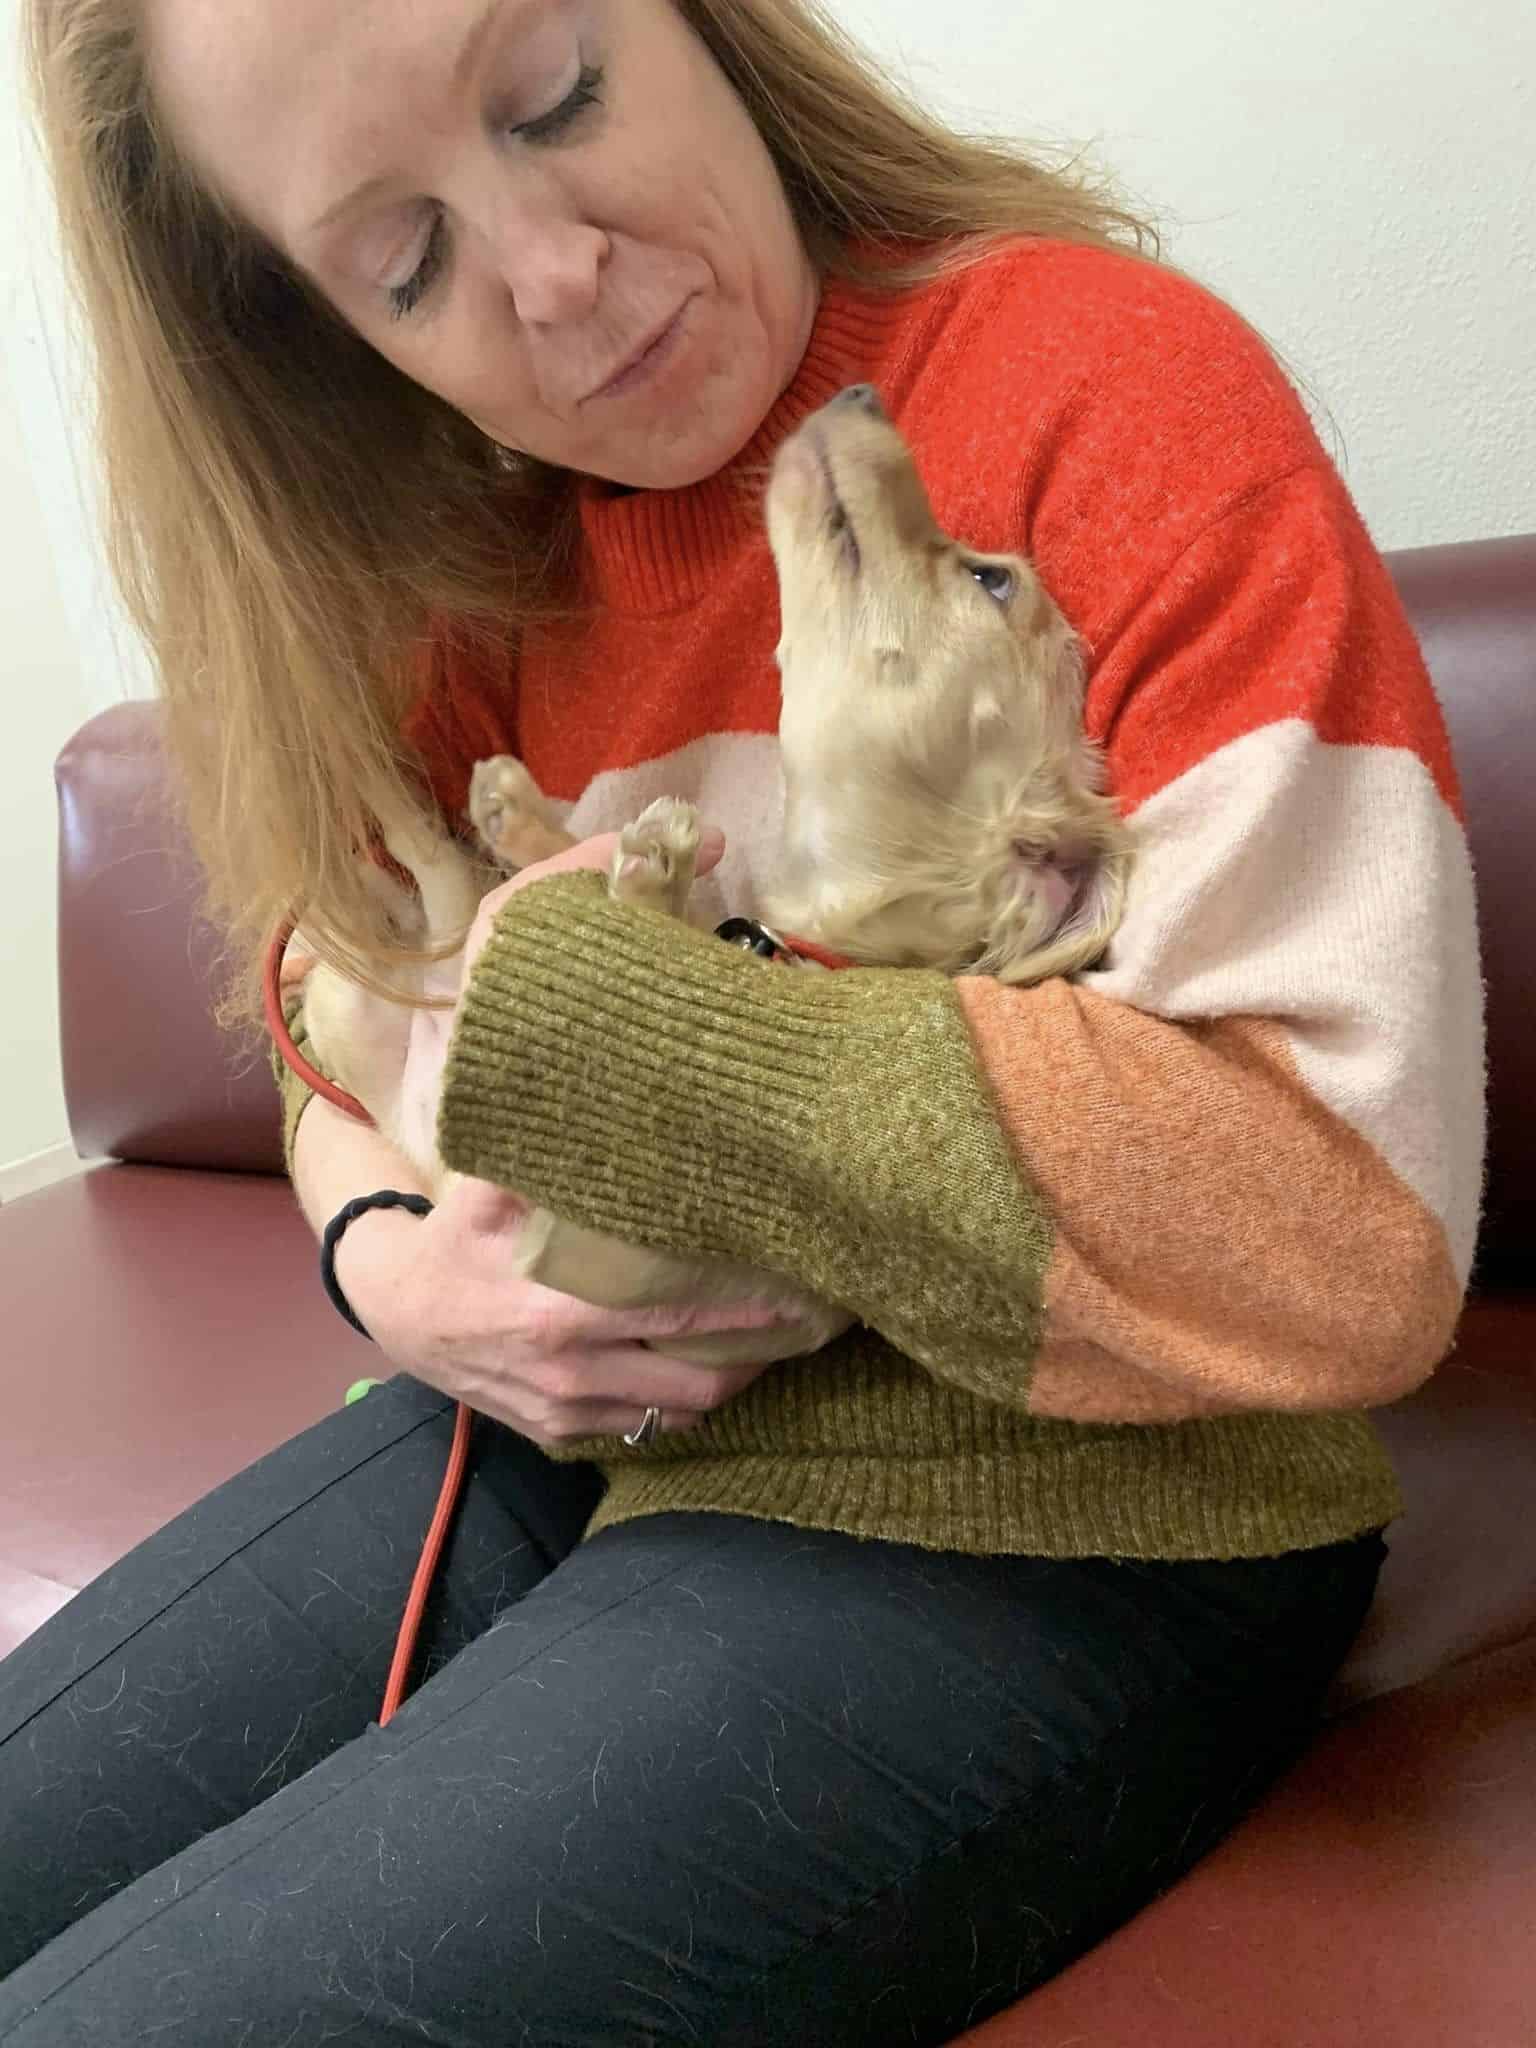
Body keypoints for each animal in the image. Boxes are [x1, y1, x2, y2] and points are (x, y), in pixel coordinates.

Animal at [303, 391, 1146, 1368]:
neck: (790, 947)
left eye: (991, 580)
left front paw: (652, 878)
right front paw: (572, 837)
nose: (859, 394)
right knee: (408, 840)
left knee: (406, 855)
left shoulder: (598, 1256)